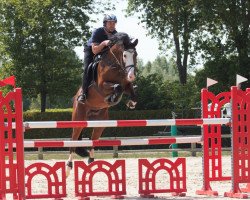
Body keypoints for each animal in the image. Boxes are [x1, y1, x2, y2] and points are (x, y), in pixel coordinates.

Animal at [66, 32, 139, 177]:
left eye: (135, 55)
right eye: (124, 55)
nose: (132, 76)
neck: (115, 65)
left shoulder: (126, 84)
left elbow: (130, 90)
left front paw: (131, 102)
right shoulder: (101, 86)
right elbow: (117, 87)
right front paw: (113, 98)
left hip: (100, 123)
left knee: (93, 140)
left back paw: (91, 161)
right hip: (78, 119)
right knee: (73, 141)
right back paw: (68, 167)